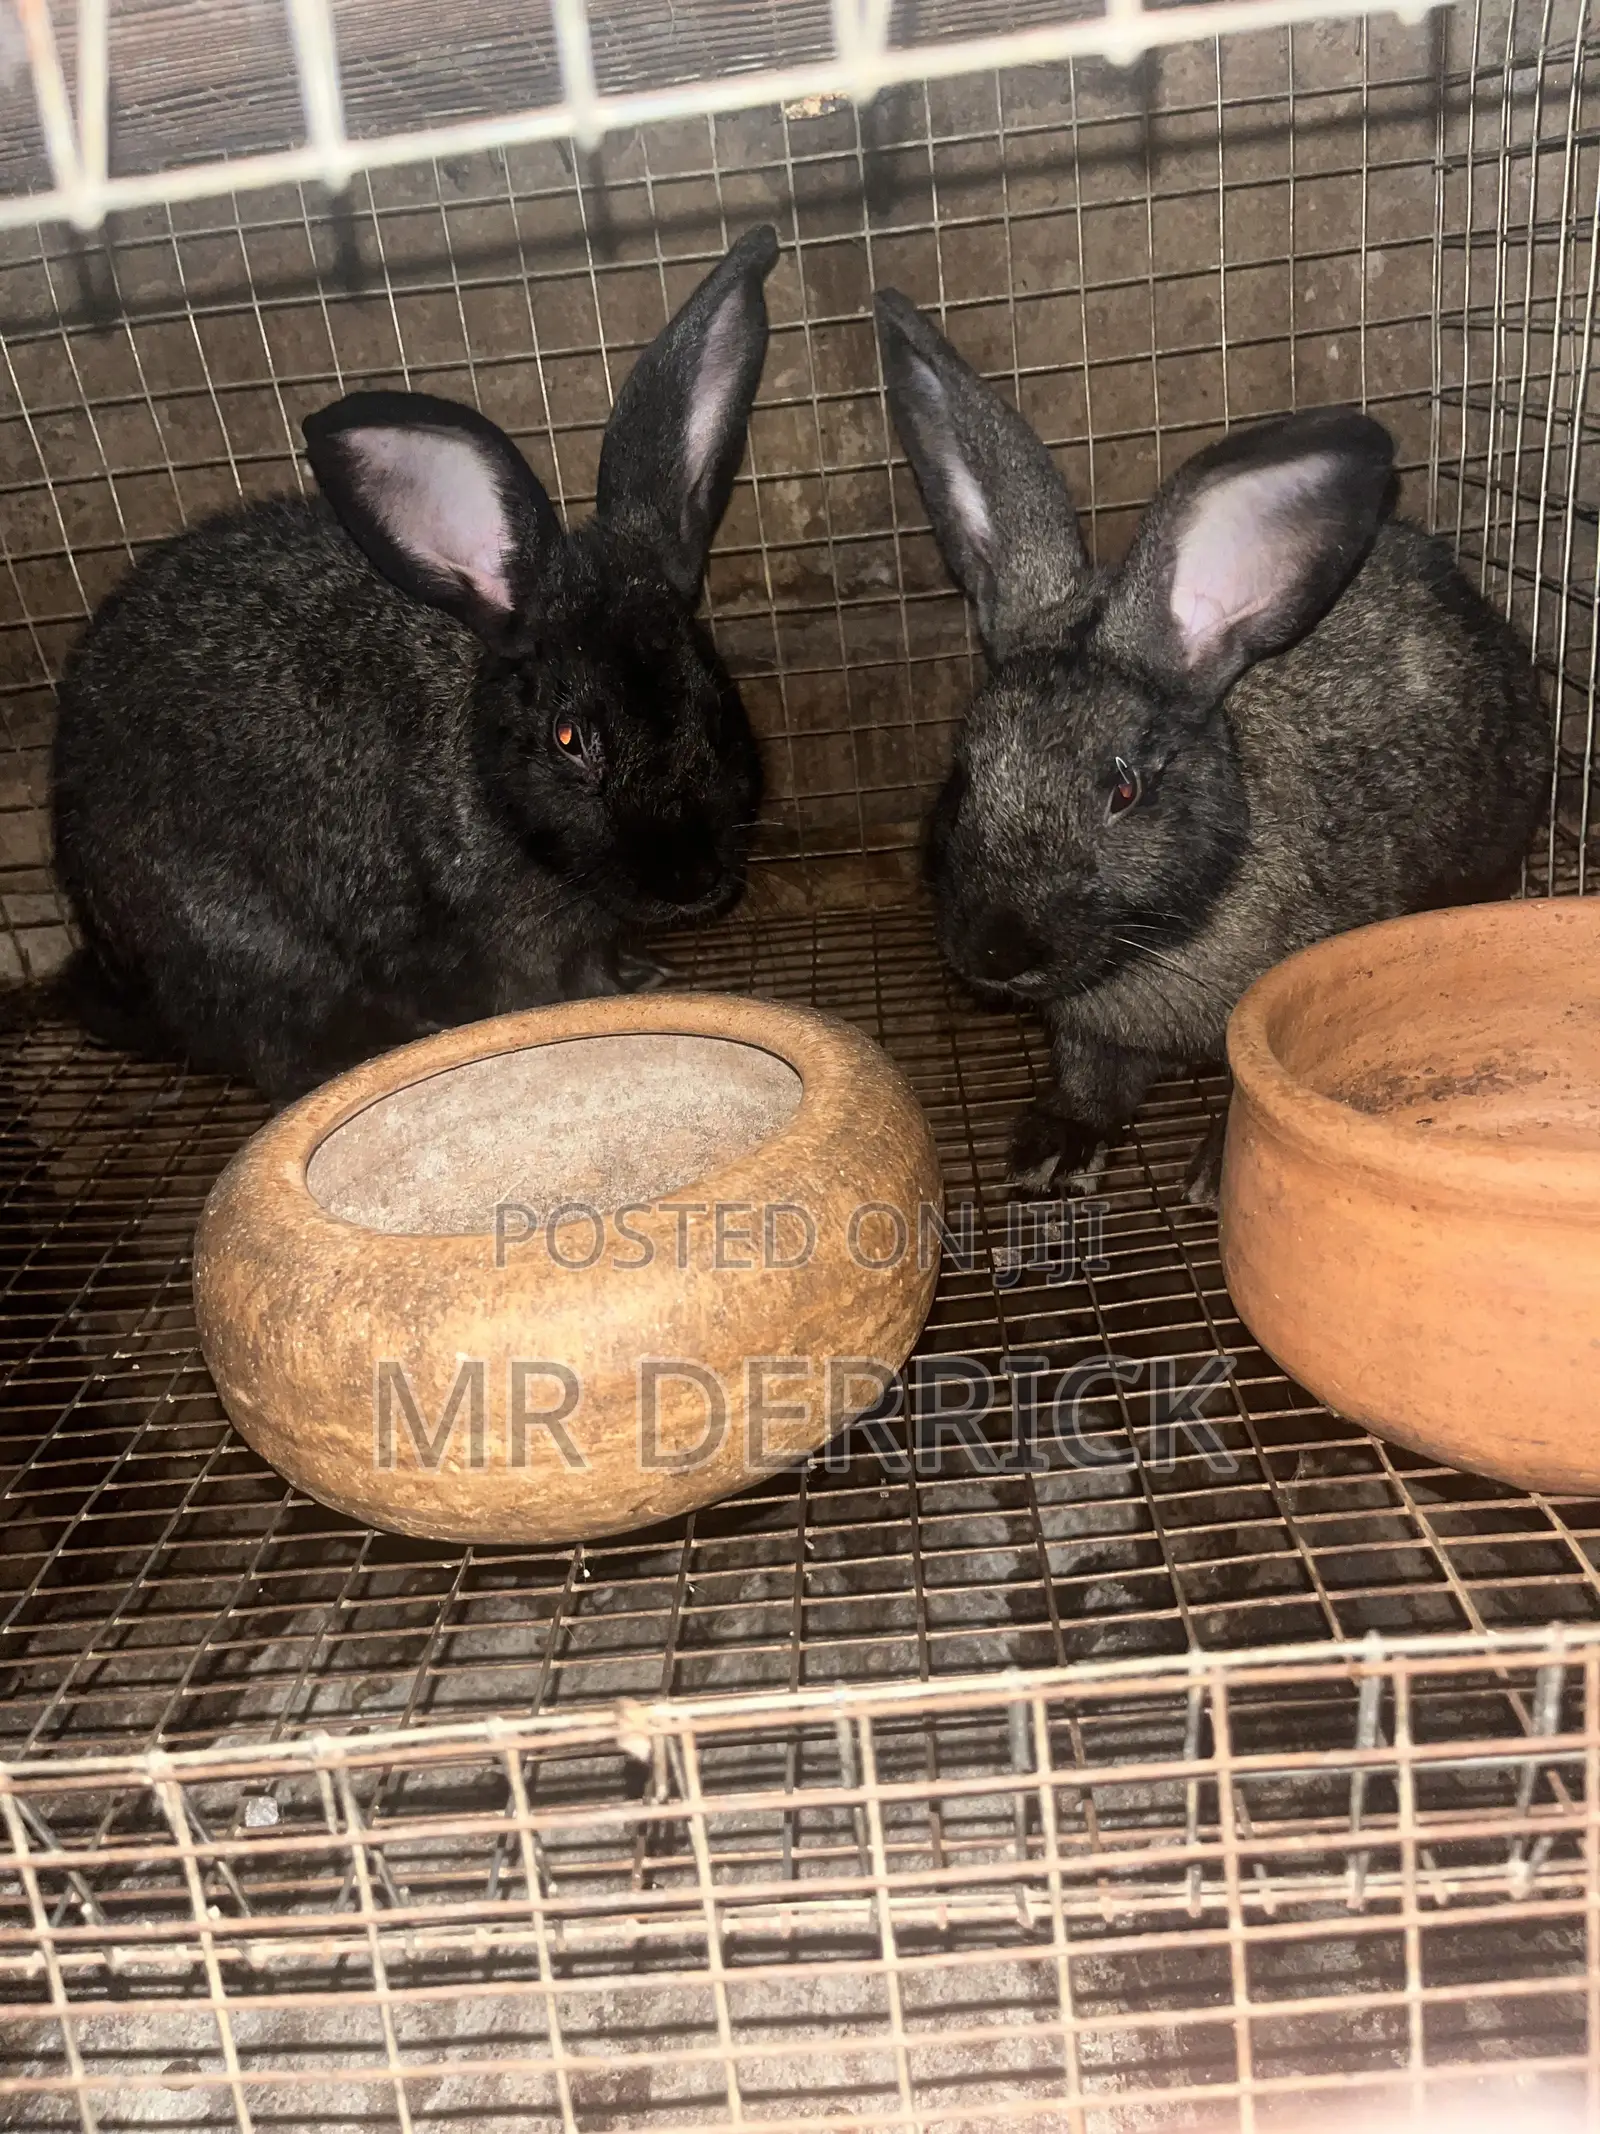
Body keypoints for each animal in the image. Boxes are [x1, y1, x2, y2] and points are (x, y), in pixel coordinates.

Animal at [50, 225, 780, 1104]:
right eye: (570, 739)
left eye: (716, 703)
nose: (690, 878)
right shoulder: (514, 943)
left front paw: (646, 976)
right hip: (242, 944)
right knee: (276, 1044)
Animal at [875, 288, 1551, 1208]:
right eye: (960, 778)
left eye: (1122, 790)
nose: (996, 952)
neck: (1158, 942)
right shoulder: (1088, 1037)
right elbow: (1090, 1078)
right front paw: (1047, 1152)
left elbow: (1242, 1086)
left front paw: (1209, 1175)